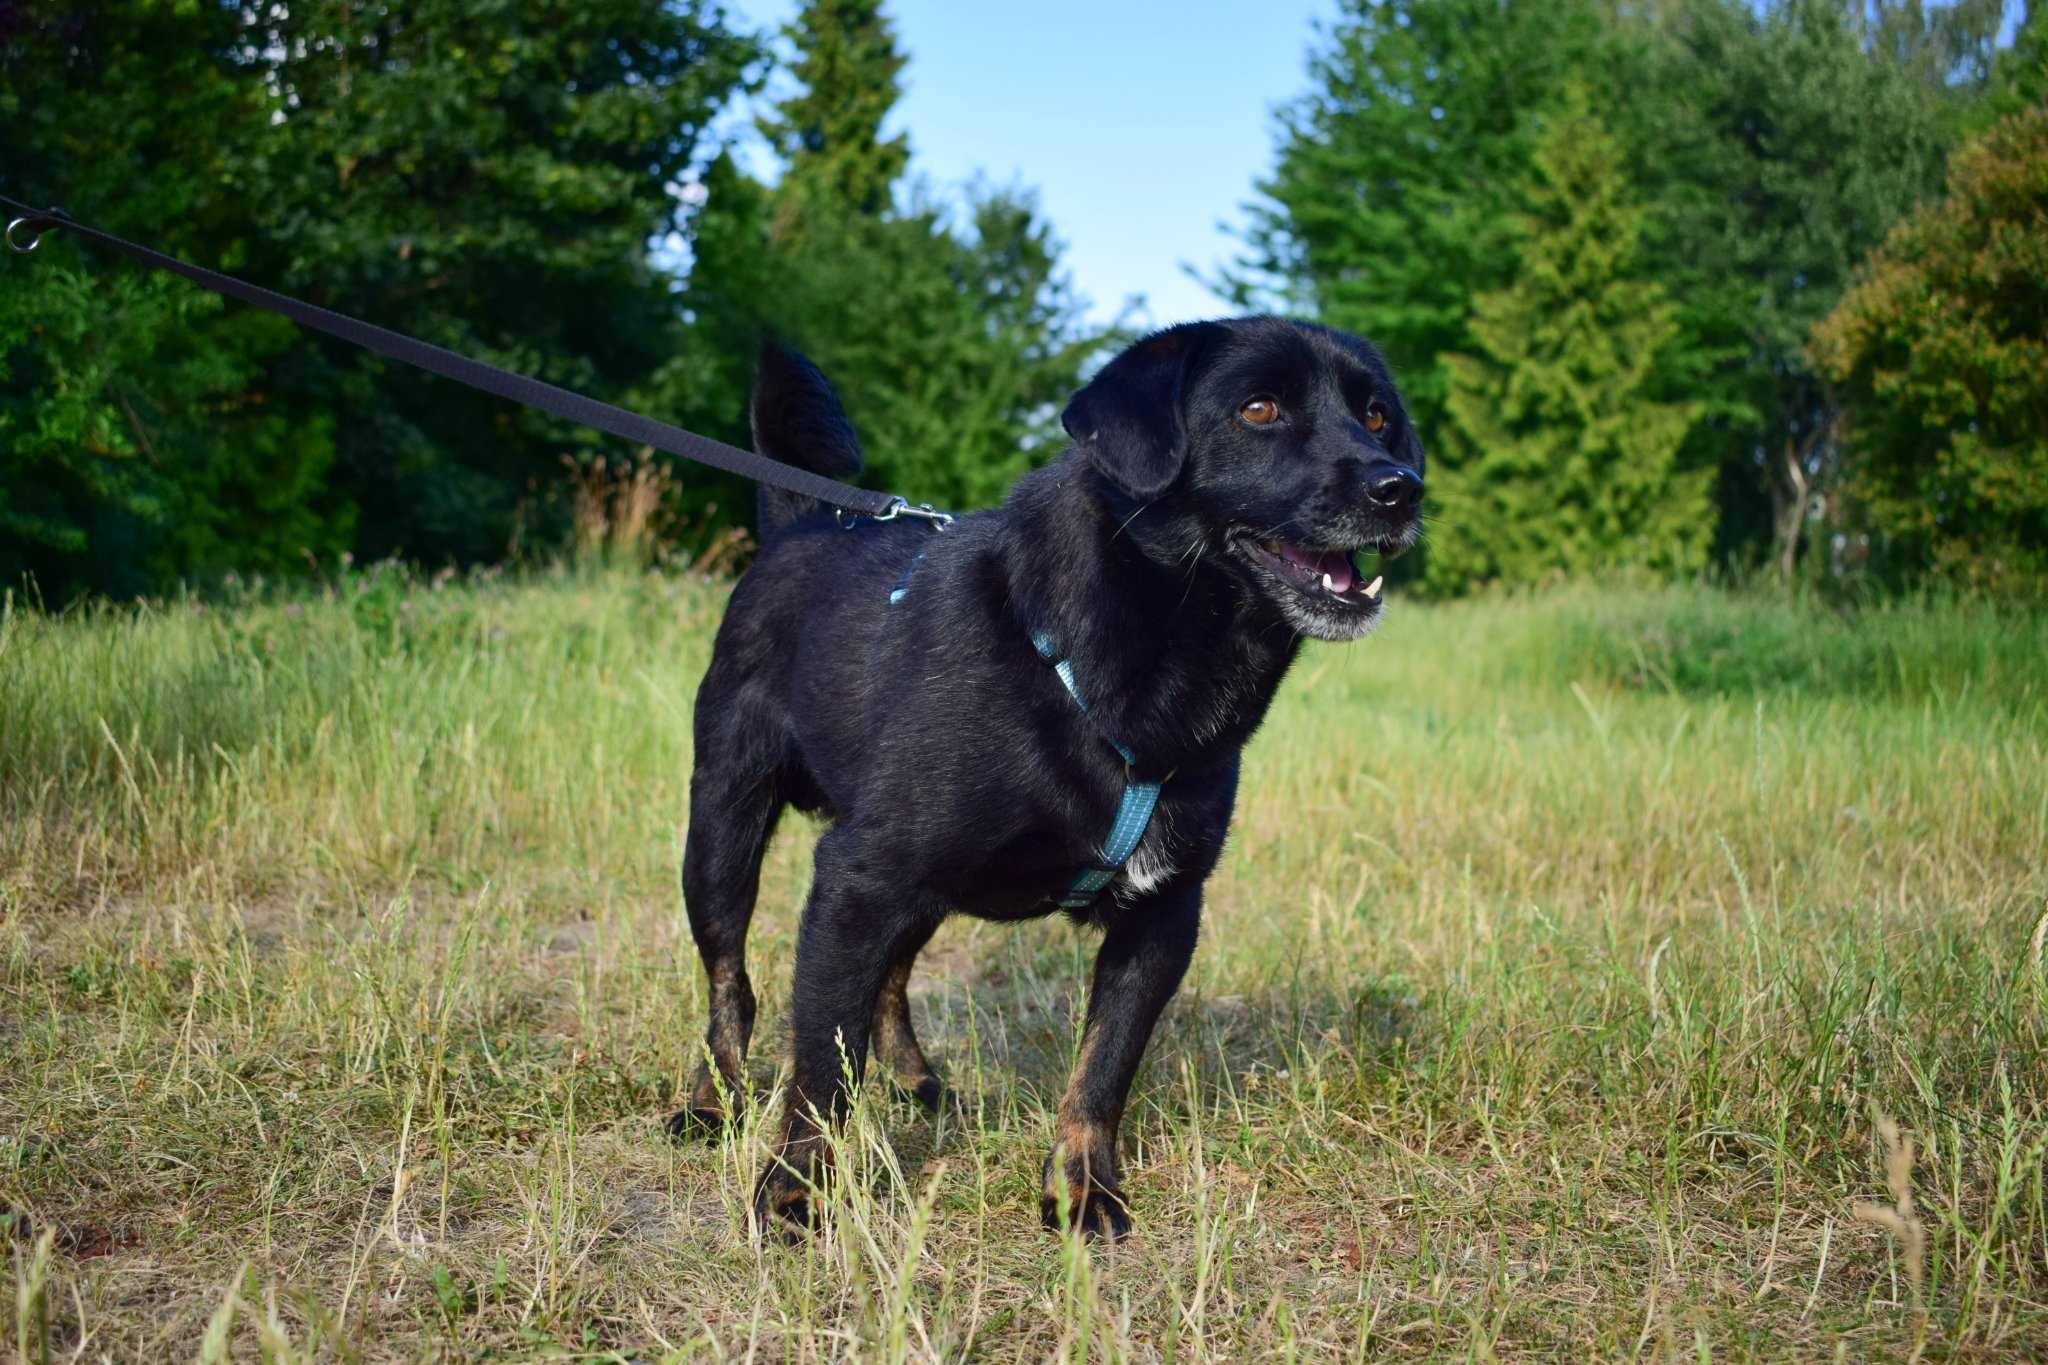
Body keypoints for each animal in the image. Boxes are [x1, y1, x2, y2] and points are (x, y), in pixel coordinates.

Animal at [671, 317, 1425, 1236]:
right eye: (1259, 408)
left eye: (1378, 415)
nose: (1401, 488)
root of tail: (801, 524)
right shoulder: (857, 877)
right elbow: (820, 1061)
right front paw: (794, 1188)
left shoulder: (1164, 913)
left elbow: (1104, 1067)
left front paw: (1082, 1185)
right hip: (724, 831)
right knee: (732, 982)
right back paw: (711, 1102)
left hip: (922, 888)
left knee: (889, 978)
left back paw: (913, 1079)